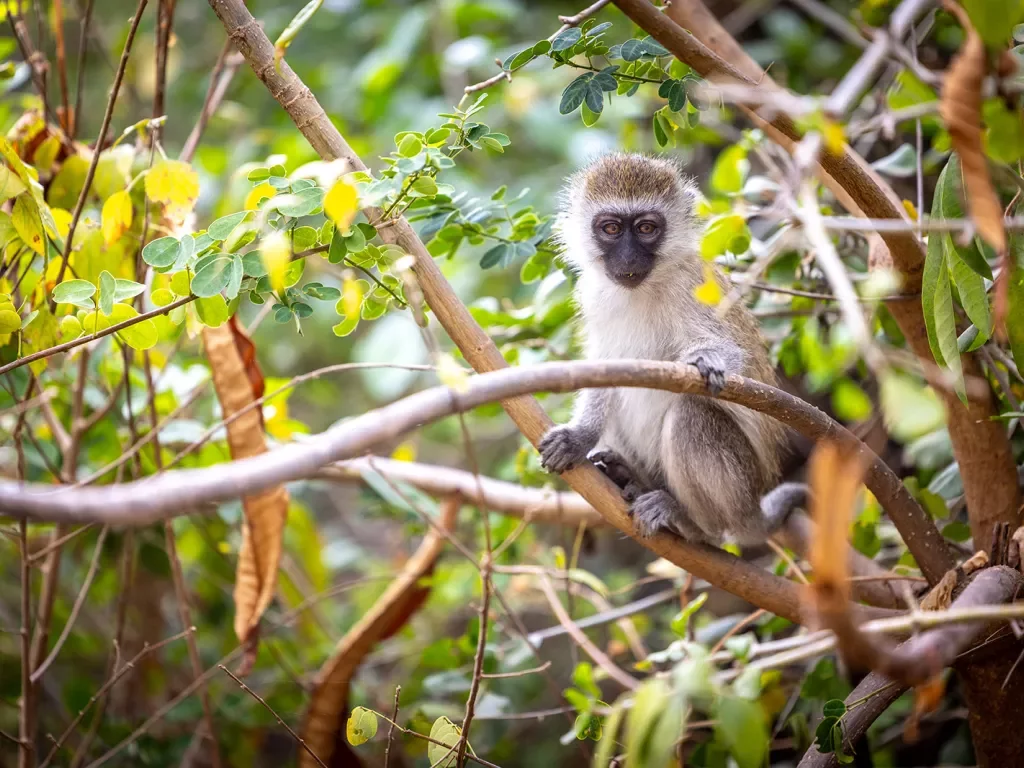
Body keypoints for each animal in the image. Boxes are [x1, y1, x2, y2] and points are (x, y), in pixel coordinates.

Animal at [536, 151, 806, 548]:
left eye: (646, 228)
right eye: (611, 229)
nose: (628, 259)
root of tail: (753, 510)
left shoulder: (692, 284)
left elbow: (733, 357)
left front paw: (708, 361)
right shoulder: (593, 294)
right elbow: (604, 369)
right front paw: (580, 436)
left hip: (741, 487)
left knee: (692, 413)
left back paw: (692, 523)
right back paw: (632, 478)